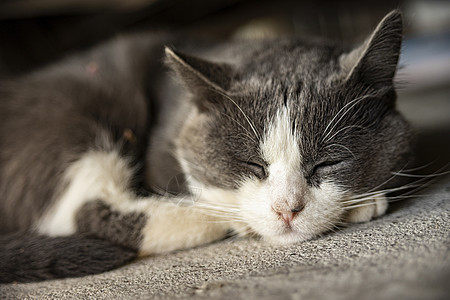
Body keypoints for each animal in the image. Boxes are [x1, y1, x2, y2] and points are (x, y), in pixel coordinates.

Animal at [0, 8, 412, 282]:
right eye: (252, 164)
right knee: (88, 211)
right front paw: (363, 205)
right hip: (76, 112)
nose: (287, 210)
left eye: (327, 163)